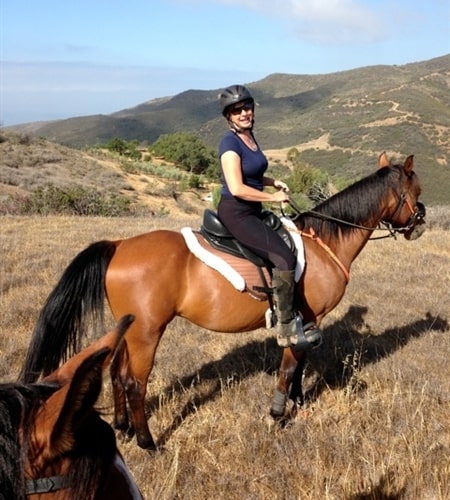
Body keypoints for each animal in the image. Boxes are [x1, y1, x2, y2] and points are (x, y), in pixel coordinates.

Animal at [20, 151, 426, 450]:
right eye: (417, 191)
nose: (420, 224)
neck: (323, 241)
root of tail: (118, 245)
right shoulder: (304, 319)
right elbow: (290, 366)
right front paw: (278, 413)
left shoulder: (310, 321)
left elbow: (301, 363)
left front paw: (298, 402)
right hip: (148, 332)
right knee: (135, 383)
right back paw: (148, 443)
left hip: (129, 328)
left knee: (117, 374)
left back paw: (122, 427)